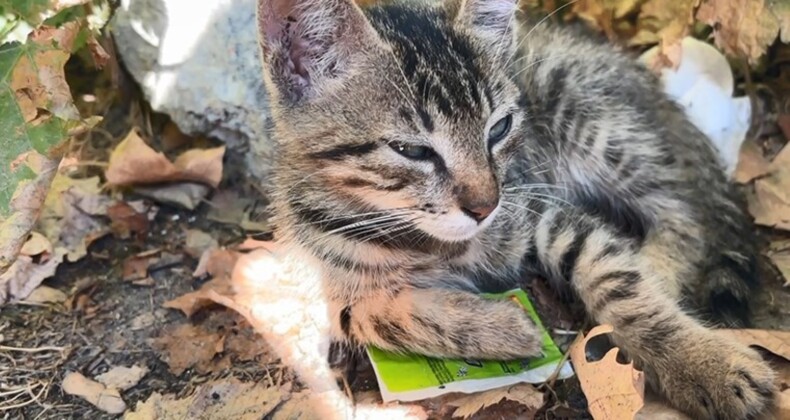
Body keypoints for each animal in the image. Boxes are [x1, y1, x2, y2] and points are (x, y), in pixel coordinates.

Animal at [255, 0, 780, 416]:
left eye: (500, 128)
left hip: (594, 124)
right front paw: (507, 329)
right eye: (412, 151)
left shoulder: (540, 205)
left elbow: (618, 281)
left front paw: (701, 363)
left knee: (685, 213)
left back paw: (659, 267)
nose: (485, 207)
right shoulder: (330, 277)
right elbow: (372, 314)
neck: (431, 243)